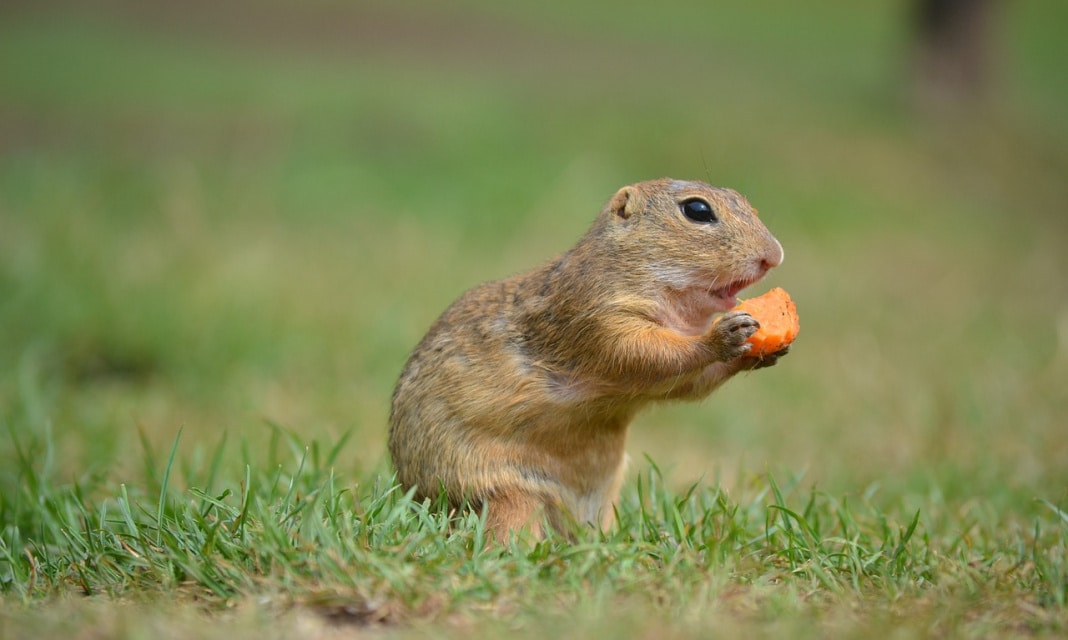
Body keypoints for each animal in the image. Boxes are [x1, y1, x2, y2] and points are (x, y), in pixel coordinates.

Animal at [388, 177, 790, 538]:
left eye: (745, 202)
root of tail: (420, 501)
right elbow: (649, 353)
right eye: (697, 210)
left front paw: (760, 352)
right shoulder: (599, 317)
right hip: (505, 495)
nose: (774, 255)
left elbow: (687, 384)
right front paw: (723, 335)